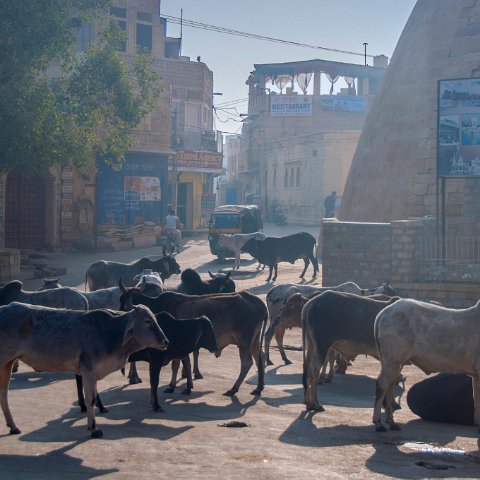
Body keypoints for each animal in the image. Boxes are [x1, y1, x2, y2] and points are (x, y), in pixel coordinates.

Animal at [0, 304, 169, 438]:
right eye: (148, 321)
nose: (165, 341)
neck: (110, 332)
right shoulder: (89, 371)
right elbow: (91, 399)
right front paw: (94, 429)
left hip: (7, 364)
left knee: (4, 392)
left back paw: (13, 426)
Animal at [118, 284, 268, 398]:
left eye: (124, 305)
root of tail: (259, 303)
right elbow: (180, 364)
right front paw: (177, 384)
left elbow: (178, 364)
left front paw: (178, 386)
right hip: (254, 341)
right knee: (260, 358)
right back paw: (258, 388)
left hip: (245, 342)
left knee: (247, 363)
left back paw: (233, 389)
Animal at [264, 282, 396, 364]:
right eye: (391, 291)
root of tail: (270, 292)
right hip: (275, 321)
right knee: (268, 336)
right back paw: (268, 359)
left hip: (281, 323)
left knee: (278, 338)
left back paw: (285, 358)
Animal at [374, 300, 480, 432]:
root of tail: (386, 311)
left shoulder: (476, 375)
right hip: (393, 360)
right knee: (382, 385)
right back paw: (378, 423)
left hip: (394, 363)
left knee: (390, 385)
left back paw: (392, 423)